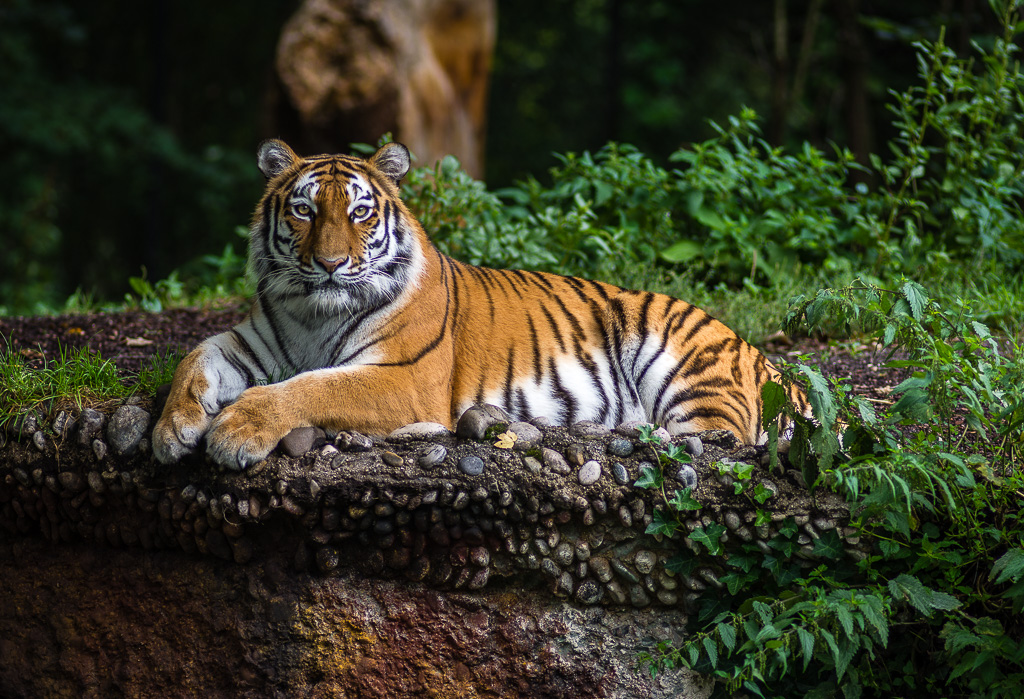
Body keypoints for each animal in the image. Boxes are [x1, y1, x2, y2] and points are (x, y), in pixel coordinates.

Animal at [152, 139, 809, 470]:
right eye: (305, 210)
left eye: (360, 212)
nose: (332, 264)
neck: (316, 312)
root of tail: (764, 357)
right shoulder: (254, 339)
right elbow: (195, 357)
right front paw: (173, 429)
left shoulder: (401, 376)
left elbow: (310, 387)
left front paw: (236, 432)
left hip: (682, 364)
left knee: (716, 440)